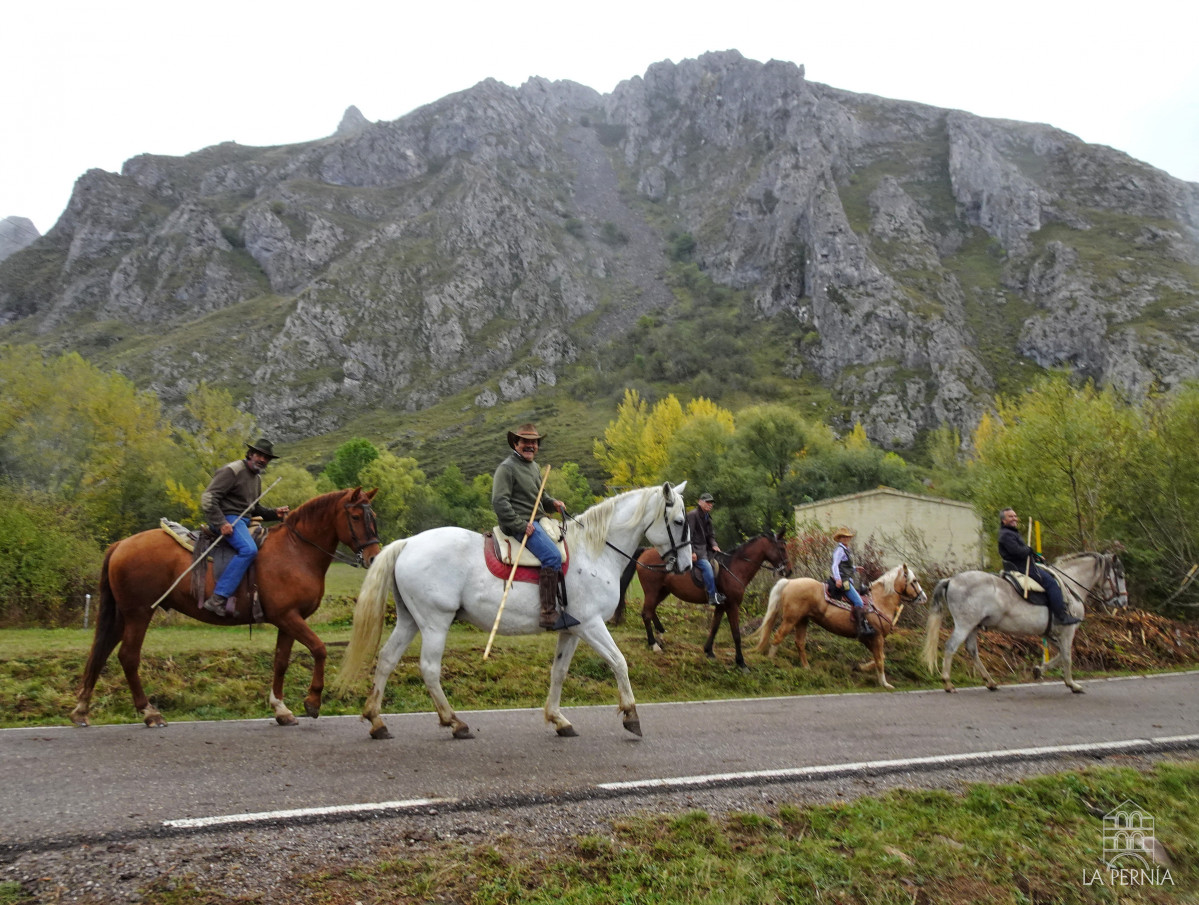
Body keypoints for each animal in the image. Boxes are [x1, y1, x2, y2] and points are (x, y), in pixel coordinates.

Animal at [70, 489, 378, 728]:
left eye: (373, 516)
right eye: (355, 517)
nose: (374, 557)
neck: (295, 551)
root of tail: (121, 544)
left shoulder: (288, 621)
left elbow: (281, 661)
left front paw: (281, 709)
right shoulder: (289, 617)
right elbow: (319, 649)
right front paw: (312, 701)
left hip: (123, 615)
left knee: (102, 651)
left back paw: (82, 710)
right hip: (139, 613)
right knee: (128, 657)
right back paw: (149, 713)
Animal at [335, 481, 695, 743]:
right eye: (679, 522)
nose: (687, 566)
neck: (595, 551)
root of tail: (408, 543)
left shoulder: (572, 630)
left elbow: (559, 673)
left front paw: (558, 720)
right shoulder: (591, 625)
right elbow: (619, 662)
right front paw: (631, 715)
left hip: (410, 621)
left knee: (386, 660)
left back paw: (377, 721)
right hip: (435, 623)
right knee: (429, 669)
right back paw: (454, 722)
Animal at [618, 529, 796, 671]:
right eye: (782, 548)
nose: (789, 571)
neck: (735, 567)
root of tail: (646, 551)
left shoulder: (721, 606)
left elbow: (714, 627)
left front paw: (709, 651)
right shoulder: (732, 606)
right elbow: (736, 634)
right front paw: (741, 663)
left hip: (662, 591)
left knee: (651, 610)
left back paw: (660, 635)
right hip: (653, 591)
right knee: (646, 613)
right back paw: (654, 644)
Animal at [748, 563, 925, 690]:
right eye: (914, 581)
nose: (923, 597)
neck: (879, 601)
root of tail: (790, 582)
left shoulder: (870, 639)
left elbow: (879, 658)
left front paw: (861, 667)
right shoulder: (877, 637)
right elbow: (880, 659)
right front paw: (885, 683)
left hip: (802, 621)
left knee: (799, 643)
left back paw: (806, 668)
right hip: (791, 620)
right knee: (778, 637)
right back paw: (771, 662)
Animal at [920, 551, 1127, 695]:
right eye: (1120, 575)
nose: (1123, 602)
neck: (1071, 585)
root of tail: (952, 580)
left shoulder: (1052, 634)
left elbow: (1060, 655)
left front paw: (1038, 670)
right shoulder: (1067, 631)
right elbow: (1067, 656)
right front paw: (1072, 684)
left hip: (972, 627)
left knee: (972, 651)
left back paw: (990, 682)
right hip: (964, 625)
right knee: (951, 647)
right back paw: (948, 683)